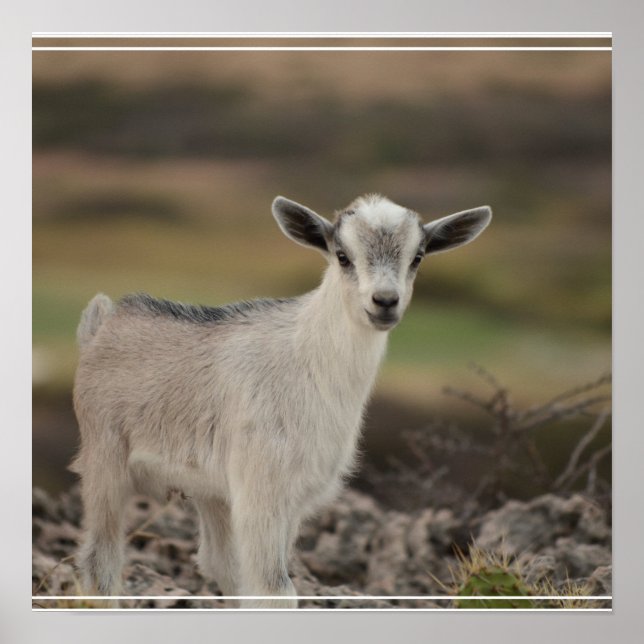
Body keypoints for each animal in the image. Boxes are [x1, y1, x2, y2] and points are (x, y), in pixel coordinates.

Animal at [71, 194, 492, 608]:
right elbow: (275, 589)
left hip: (210, 490)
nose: (385, 301)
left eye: (418, 256)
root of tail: (100, 325)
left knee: (219, 562)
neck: (308, 360)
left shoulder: (290, 499)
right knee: (100, 563)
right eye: (342, 255)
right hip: (105, 459)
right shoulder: (263, 488)